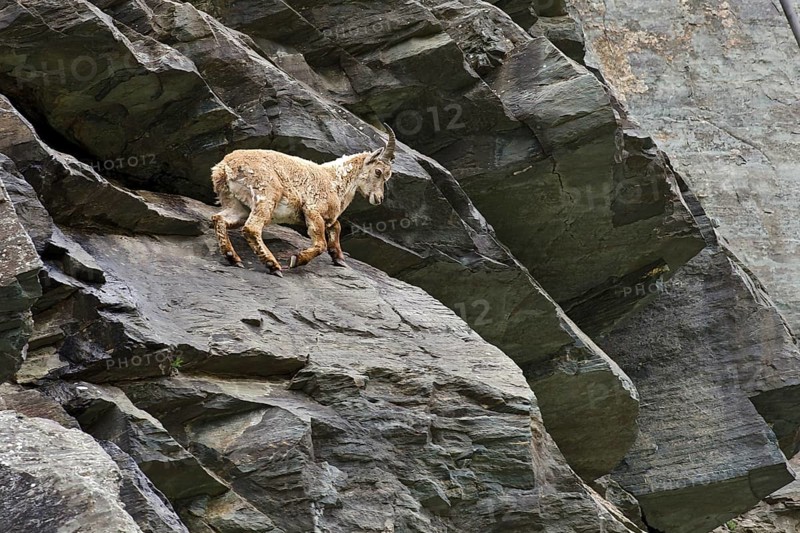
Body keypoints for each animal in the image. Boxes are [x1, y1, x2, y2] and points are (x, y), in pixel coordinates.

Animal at [210, 126, 396, 277]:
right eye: (378, 171)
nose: (379, 198)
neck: (335, 180)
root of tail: (225, 166)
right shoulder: (312, 210)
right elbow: (320, 243)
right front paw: (297, 259)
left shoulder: (325, 217)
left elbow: (336, 226)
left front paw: (339, 258)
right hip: (266, 194)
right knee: (251, 228)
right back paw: (273, 266)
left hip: (236, 203)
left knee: (219, 218)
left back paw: (233, 257)